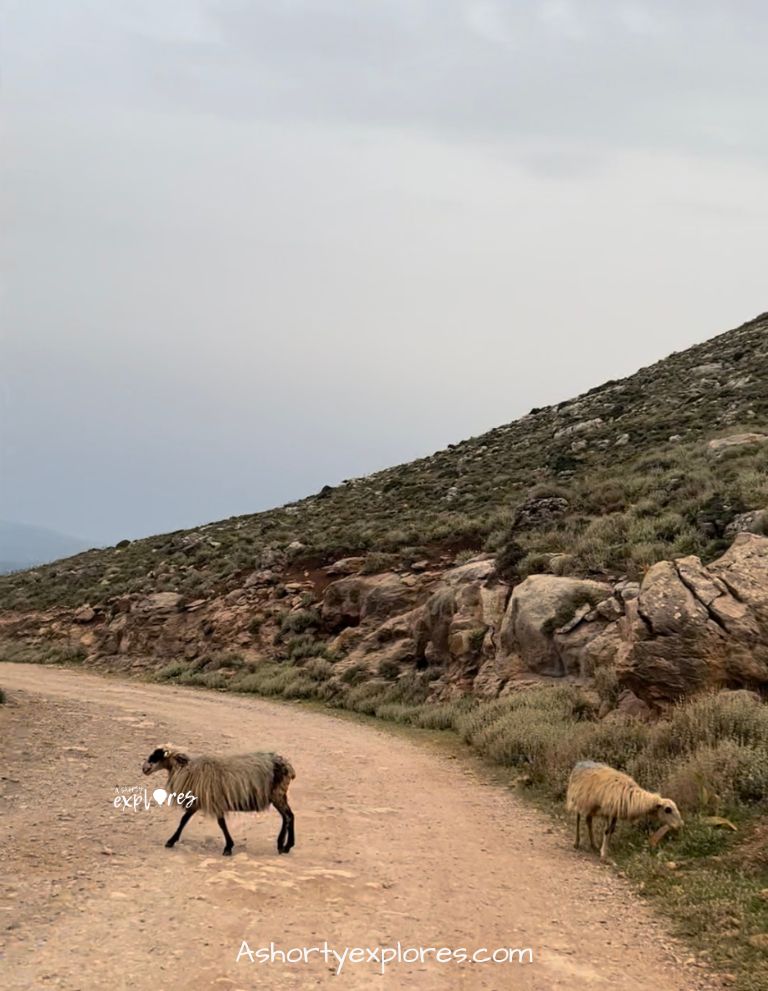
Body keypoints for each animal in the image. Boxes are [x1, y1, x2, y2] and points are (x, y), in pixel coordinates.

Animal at [141, 740, 294, 856]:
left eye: (157, 755)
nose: (144, 769)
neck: (187, 770)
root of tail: (288, 766)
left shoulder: (214, 801)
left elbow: (220, 824)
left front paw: (228, 847)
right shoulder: (198, 802)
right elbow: (184, 820)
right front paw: (171, 841)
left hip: (277, 795)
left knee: (288, 817)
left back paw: (283, 845)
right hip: (280, 796)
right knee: (288, 816)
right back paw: (285, 845)